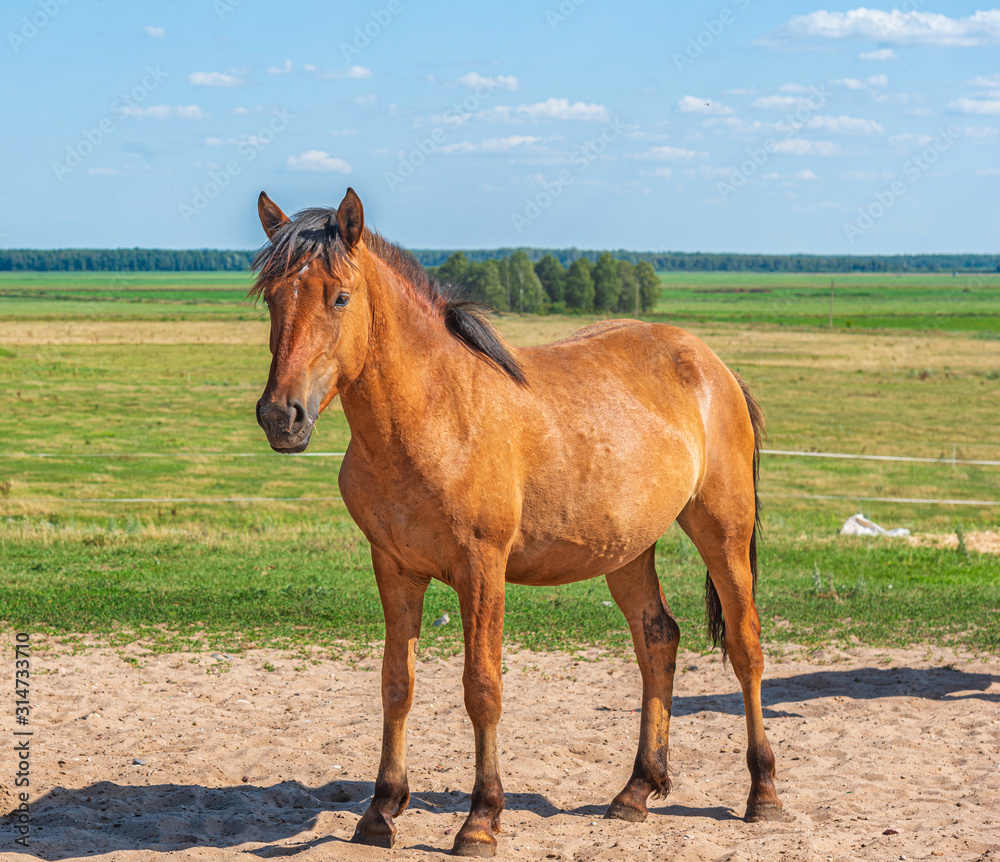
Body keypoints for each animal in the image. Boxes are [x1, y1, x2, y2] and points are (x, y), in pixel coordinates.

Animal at [250, 189, 780, 856]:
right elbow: (397, 684)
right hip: (629, 549)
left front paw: (481, 819)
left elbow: (482, 689)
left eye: (340, 297)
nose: (281, 416)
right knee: (657, 639)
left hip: (723, 533)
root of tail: (712, 366)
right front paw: (380, 811)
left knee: (746, 647)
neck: (434, 414)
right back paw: (636, 790)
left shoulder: (482, 570)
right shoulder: (394, 569)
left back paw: (763, 793)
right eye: (272, 298)